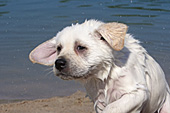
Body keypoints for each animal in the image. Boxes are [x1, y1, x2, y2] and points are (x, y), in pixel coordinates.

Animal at [29, 19, 170, 112]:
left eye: (80, 47)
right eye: (58, 48)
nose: (58, 63)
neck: (106, 73)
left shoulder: (137, 92)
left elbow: (113, 107)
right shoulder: (99, 100)